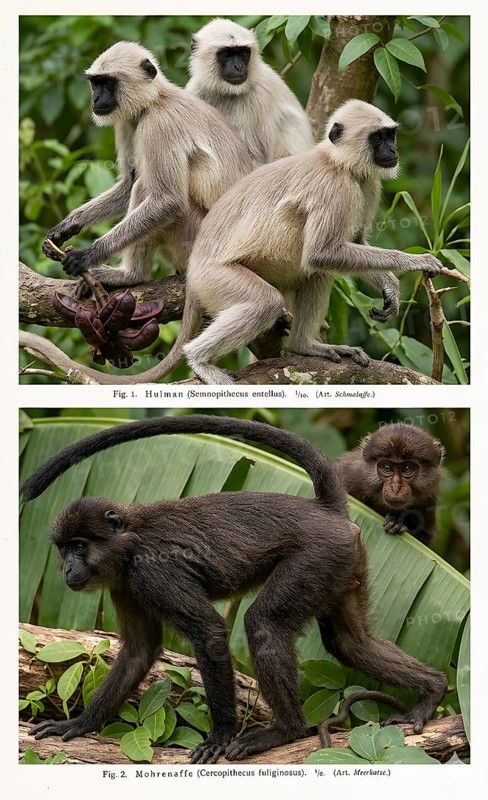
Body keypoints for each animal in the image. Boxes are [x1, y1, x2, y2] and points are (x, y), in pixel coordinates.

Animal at [24, 416, 447, 763]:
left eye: (80, 546)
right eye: (64, 549)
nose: (69, 568)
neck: (128, 544)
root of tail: (323, 510)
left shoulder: (152, 572)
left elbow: (210, 632)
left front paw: (220, 736)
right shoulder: (126, 586)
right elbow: (139, 652)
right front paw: (78, 724)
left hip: (319, 554)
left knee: (265, 624)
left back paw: (287, 732)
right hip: (343, 561)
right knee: (350, 643)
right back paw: (434, 689)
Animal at [41, 41, 252, 298]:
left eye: (109, 83)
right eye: (95, 83)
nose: (96, 98)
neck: (155, 101)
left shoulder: (159, 125)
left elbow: (168, 200)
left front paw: (86, 256)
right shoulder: (125, 122)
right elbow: (128, 183)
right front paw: (66, 227)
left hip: (197, 241)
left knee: (146, 189)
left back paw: (131, 276)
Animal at [111, 99, 442, 385]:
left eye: (390, 135)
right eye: (378, 138)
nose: (392, 149)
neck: (337, 163)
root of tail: (193, 268)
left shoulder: (368, 184)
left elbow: (347, 245)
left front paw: (389, 284)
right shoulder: (335, 188)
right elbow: (322, 253)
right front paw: (416, 261)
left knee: (317, 273)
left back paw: (304, 346)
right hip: (214, 278)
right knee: (269, 299)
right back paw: (199, 360)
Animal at [186, 19, 314, 167]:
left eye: (243, 53)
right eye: (226, 54)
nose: (238, 67)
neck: (228, 93)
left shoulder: (258, 98)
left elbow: (257, 161)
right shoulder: (196, 91)